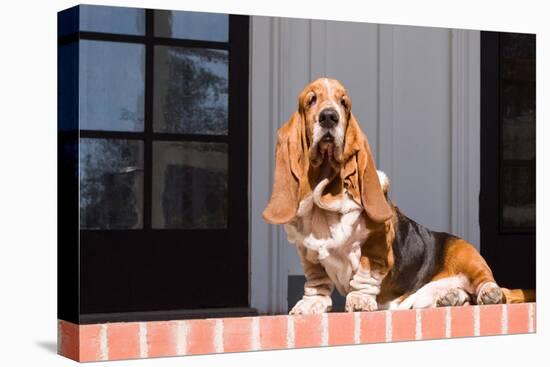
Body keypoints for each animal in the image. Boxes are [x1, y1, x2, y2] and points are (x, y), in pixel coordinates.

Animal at [264, 76, 540, 314]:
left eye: (344, 103)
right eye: (311, 100)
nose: (329, 117)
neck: (327, 197)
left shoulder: (376, 245)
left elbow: (364, 274)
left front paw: (360, 301)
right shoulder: (308, 254)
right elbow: (316, 283)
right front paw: (311, 305)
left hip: (468, 255)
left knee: (488, 284)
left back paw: (487, 294)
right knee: (460, 296)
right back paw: (451, 297)